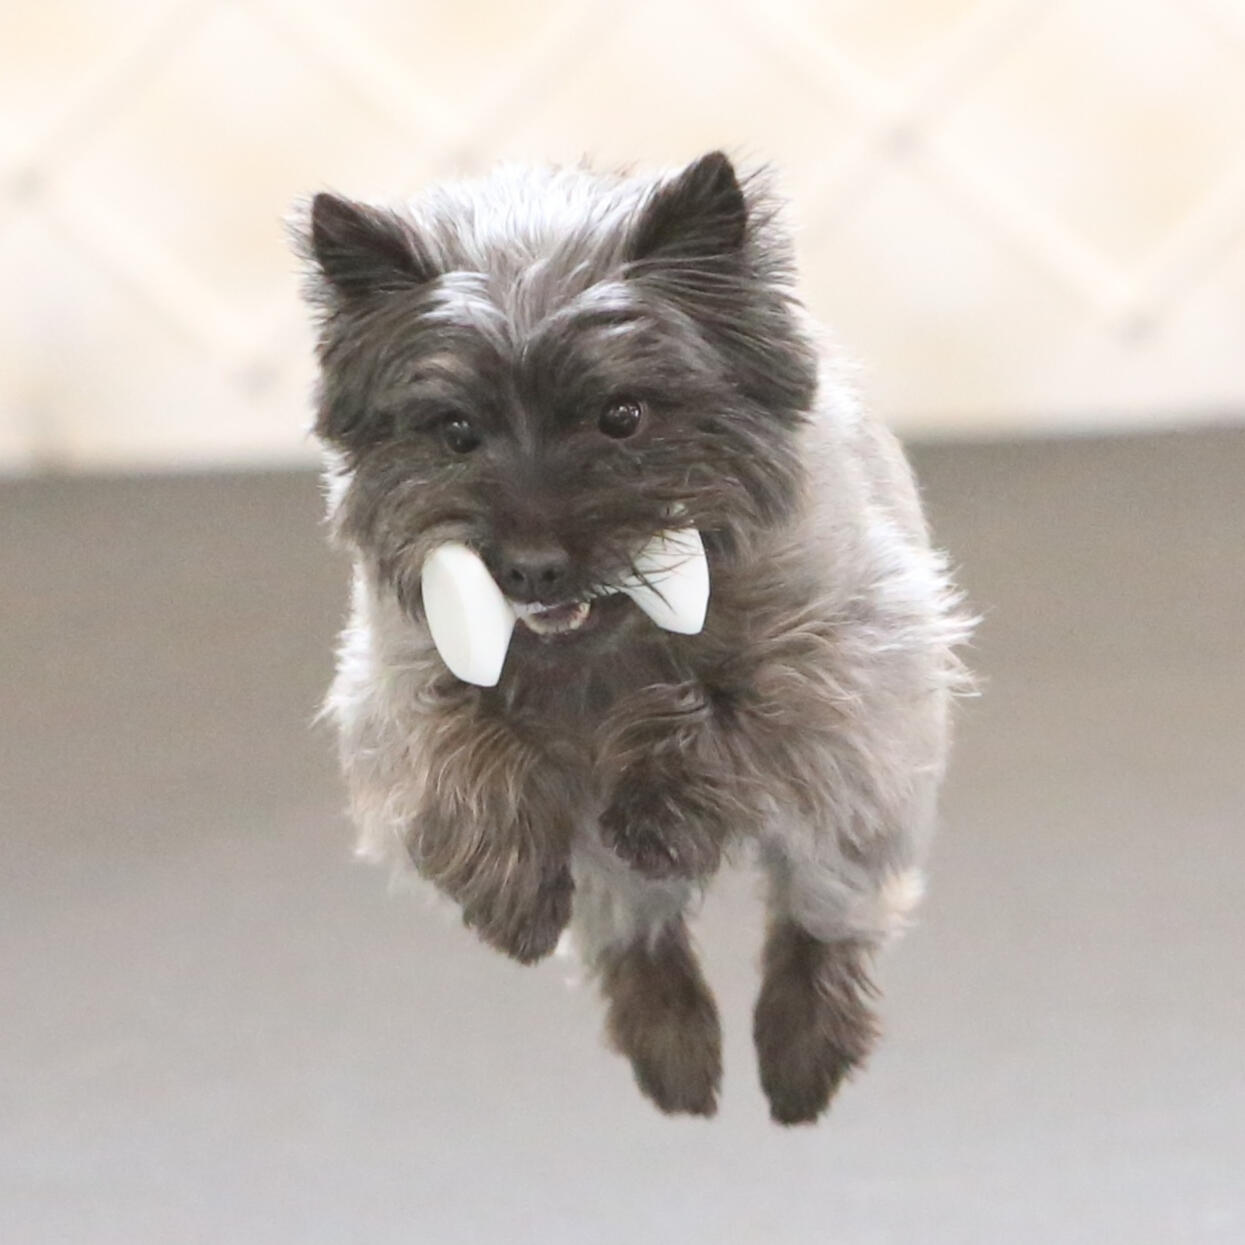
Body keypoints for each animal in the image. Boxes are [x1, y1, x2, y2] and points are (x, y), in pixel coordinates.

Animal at [291, 150, 971, 1125]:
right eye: (455, 431)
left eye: (623, 415)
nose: (530, 568)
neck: (600, 642)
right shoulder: (392, 676)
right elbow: (454, 747)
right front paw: (509, 896)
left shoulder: (847, 654)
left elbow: (733, 703)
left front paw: (658, 805)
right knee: (635, 937)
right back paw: (674, 1054)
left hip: (858, 819)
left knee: (821, 915)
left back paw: (801, 1055)